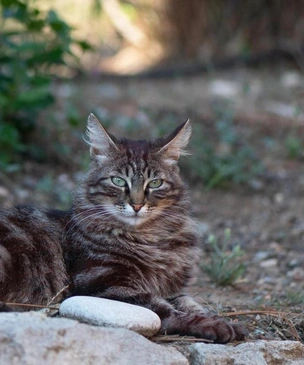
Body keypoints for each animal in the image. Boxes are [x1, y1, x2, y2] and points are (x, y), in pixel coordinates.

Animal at [0, 114, 247, 342]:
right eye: (118, 181)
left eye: (155, 183)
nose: (137, 205)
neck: (150, 238)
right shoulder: (107, 283)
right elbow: (163, 311)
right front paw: (214, 325)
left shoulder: (172, 289)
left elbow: (191, 302)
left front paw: (220, 319)